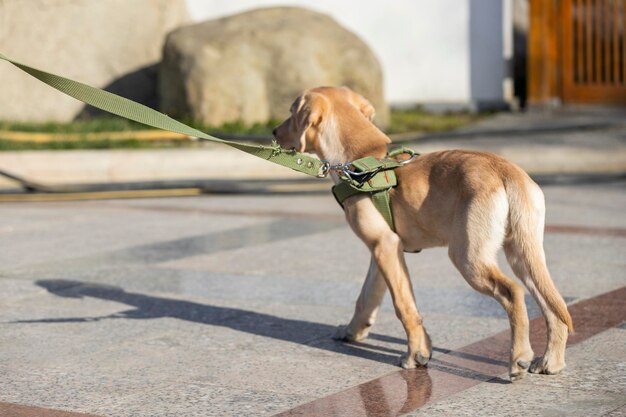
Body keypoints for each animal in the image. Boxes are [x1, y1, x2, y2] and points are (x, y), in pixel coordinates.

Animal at [272, 86, 572, 378]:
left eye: (291, 112)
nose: (273, 132)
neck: (359, 160)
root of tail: (506, 170)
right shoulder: (382, 251)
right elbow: (368, 298)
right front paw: (353, 331)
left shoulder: (384, 245)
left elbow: (403, 305)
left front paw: (416, 355)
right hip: (523, 253)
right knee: (553, 304)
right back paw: (551, 362)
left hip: (468, 256)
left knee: (513, 293)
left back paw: (519, 358)